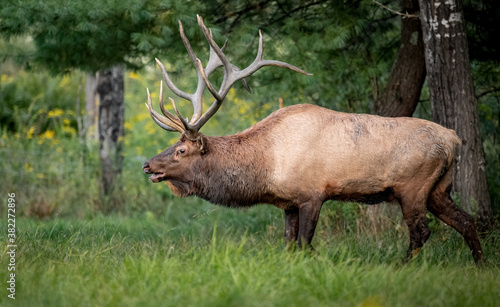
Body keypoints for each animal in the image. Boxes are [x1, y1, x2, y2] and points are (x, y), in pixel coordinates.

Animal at [143, 15, 486, 264]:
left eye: (181, 150)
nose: (147, 165)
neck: (266, 165)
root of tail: (454, 139)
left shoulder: (312, 194)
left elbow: (305, 244)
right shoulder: (288, 203)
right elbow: (288, 245)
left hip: (412, 185)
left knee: (421, 232)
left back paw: (403, 266)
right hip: (438, 188)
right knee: (467, 221)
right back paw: (480, 265)